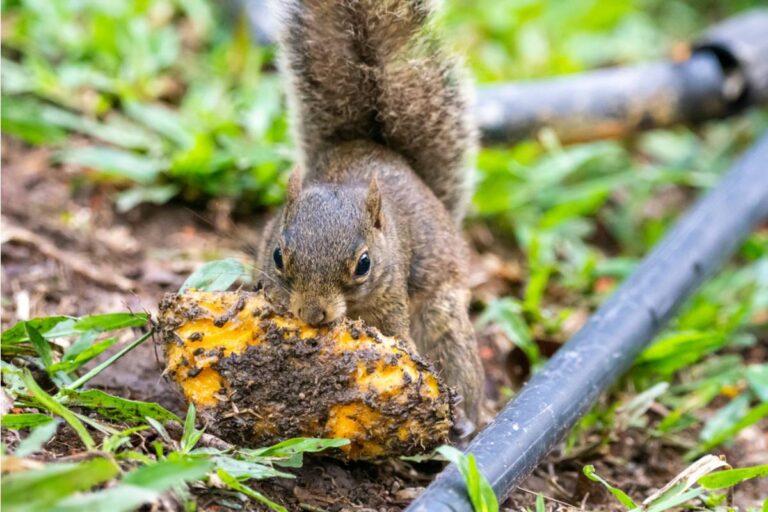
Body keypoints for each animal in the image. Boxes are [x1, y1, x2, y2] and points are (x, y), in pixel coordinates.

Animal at [255, 0, 484, 427]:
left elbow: (399, 334)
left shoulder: (392, 294)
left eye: (364, 264)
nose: (312, 313)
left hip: (441, 311)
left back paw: (465, 416)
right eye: (277, 256)